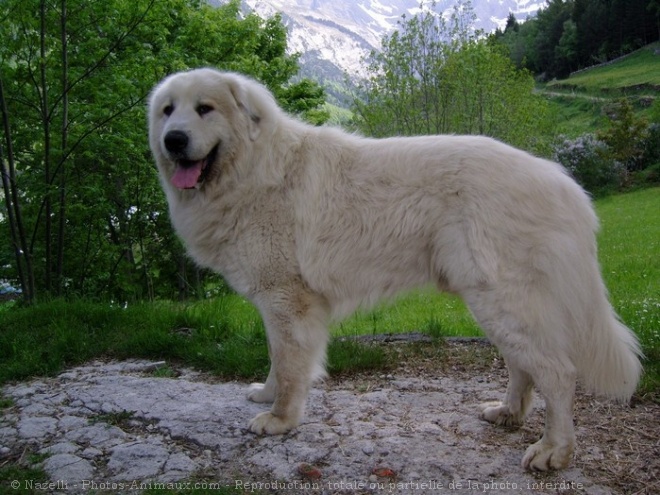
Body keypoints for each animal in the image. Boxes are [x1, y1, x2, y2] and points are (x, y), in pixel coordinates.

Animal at [148, 68, 640, 470]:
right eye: (168, 110)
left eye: (205, 109)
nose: (173, 139)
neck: (256, 168)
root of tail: (563, 183)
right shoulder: (277, 303)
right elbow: (276, 357)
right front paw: (267, 395)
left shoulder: (289, 299)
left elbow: (290, 365)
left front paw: (280, 418)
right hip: (492, 301)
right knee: (525, 365)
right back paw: (508, 413)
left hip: (500, 298)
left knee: (557, 372)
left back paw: (554, 450)